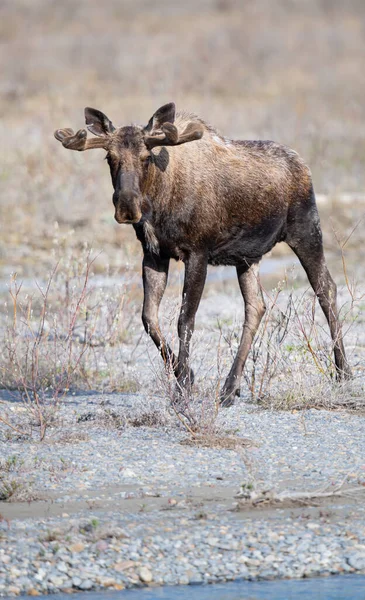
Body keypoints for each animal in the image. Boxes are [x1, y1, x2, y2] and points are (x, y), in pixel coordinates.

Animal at [54, 103, 350, 406]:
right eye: (109, 157)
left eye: (146, 157)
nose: (127, 206)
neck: (159, 202)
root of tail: (303, 164)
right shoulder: (154, 254)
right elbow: (149, 318)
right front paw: (188, 375)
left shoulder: (197, 253)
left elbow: (185, 320)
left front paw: (183, 386)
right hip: (248, 258)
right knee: (256, 306)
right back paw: (230, 387)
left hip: (306, 230)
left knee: (326, 288)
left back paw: (342, 372)